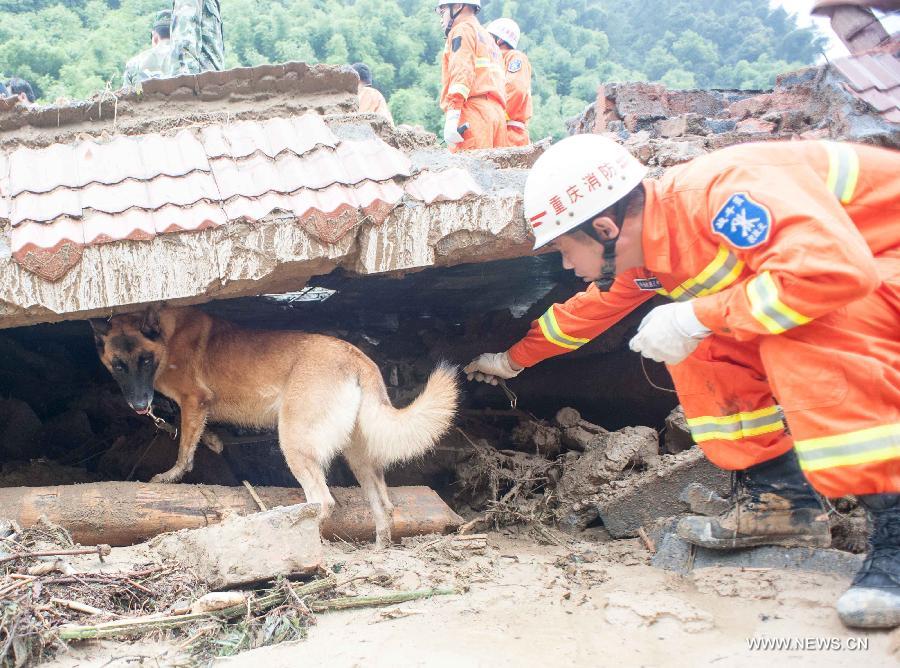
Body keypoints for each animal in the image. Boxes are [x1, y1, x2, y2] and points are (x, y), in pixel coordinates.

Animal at [93, 306, 458, 544]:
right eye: (119, 365)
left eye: (144, 361)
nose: (139, 405)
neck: (167, 337)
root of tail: (357, 358)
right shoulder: (196, 407)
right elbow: (195, 434)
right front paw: (213, 441)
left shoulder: (194, 400)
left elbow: (184, 448)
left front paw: (172, 475)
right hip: (360, 458)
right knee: (384, 506)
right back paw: (380, 549)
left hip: (295, 442)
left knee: (323, 501)